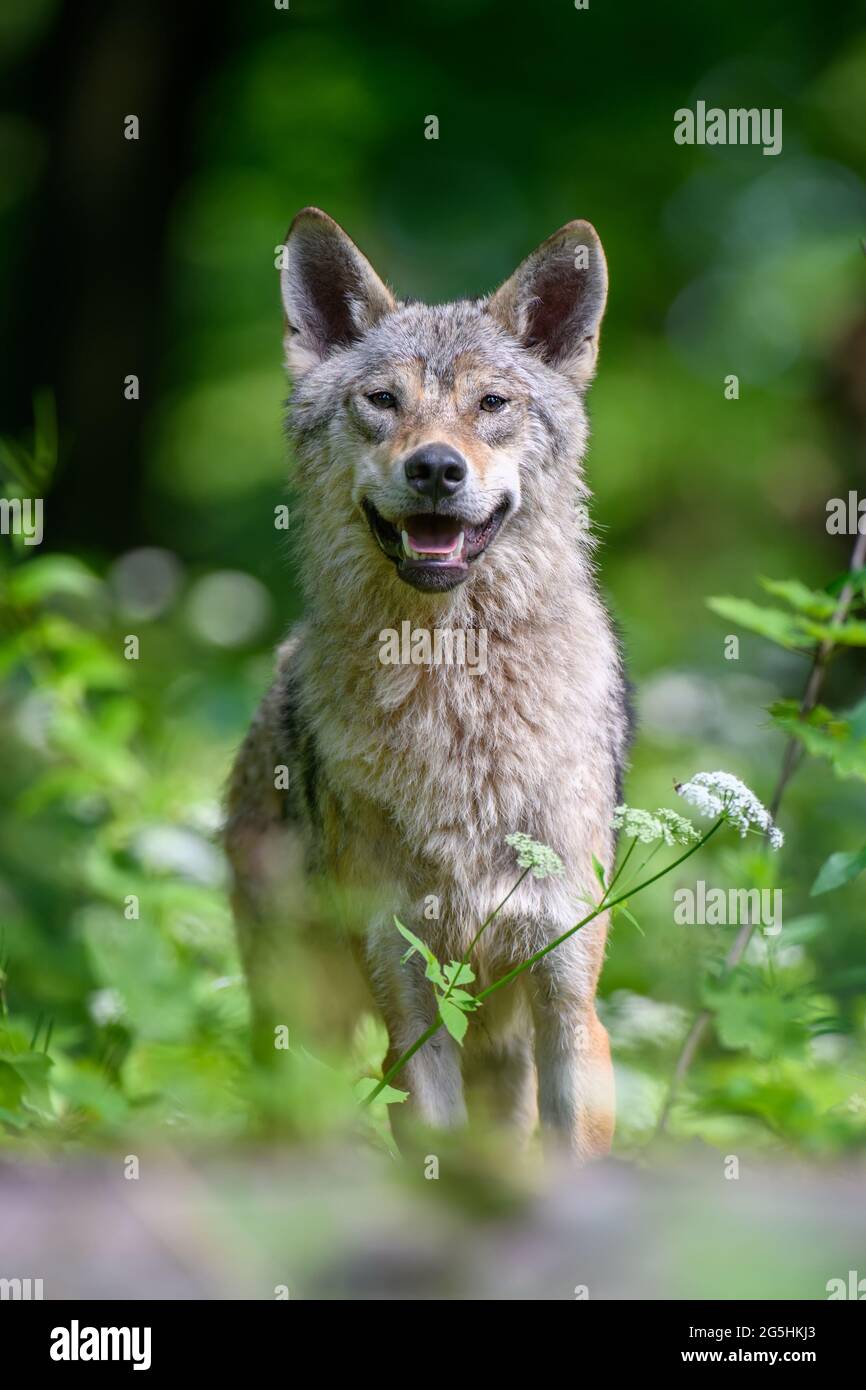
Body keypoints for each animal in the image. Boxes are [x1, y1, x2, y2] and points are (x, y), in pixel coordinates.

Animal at [225, 207, 631, 1160]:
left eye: (492, 404)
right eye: (383, 401)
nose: (438, 468)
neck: (458, 712)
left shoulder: (569, 1000)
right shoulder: (410, 1003)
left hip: (502, 1043)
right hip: (304, 1024)